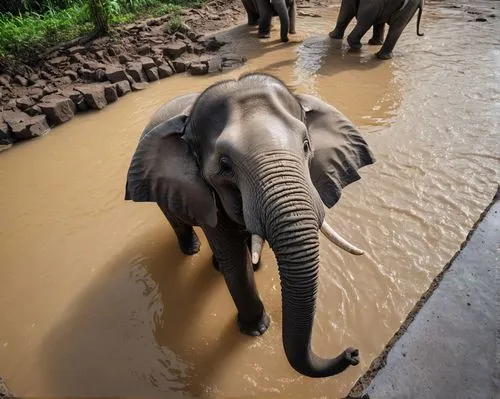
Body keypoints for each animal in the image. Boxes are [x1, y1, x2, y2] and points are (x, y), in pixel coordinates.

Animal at [125, 72, 376, 378]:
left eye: (306, 146)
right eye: (224, 165)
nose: (353, 353)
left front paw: (256, 267)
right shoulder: (206, 191)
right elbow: (234, 258)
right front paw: (257, 330)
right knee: (177, 222)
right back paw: (192, 251)